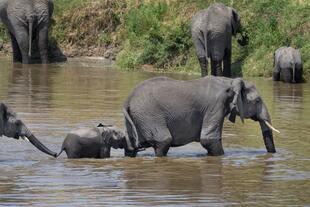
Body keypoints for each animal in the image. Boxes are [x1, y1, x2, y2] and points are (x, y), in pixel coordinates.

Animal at [123, 76, 278, 157]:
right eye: (257, 101)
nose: (272, 155)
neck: (229, 81)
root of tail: (128, 99)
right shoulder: (215, 106)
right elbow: (209, 139)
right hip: (149, 116)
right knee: (164, 141)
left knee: (131, 145)